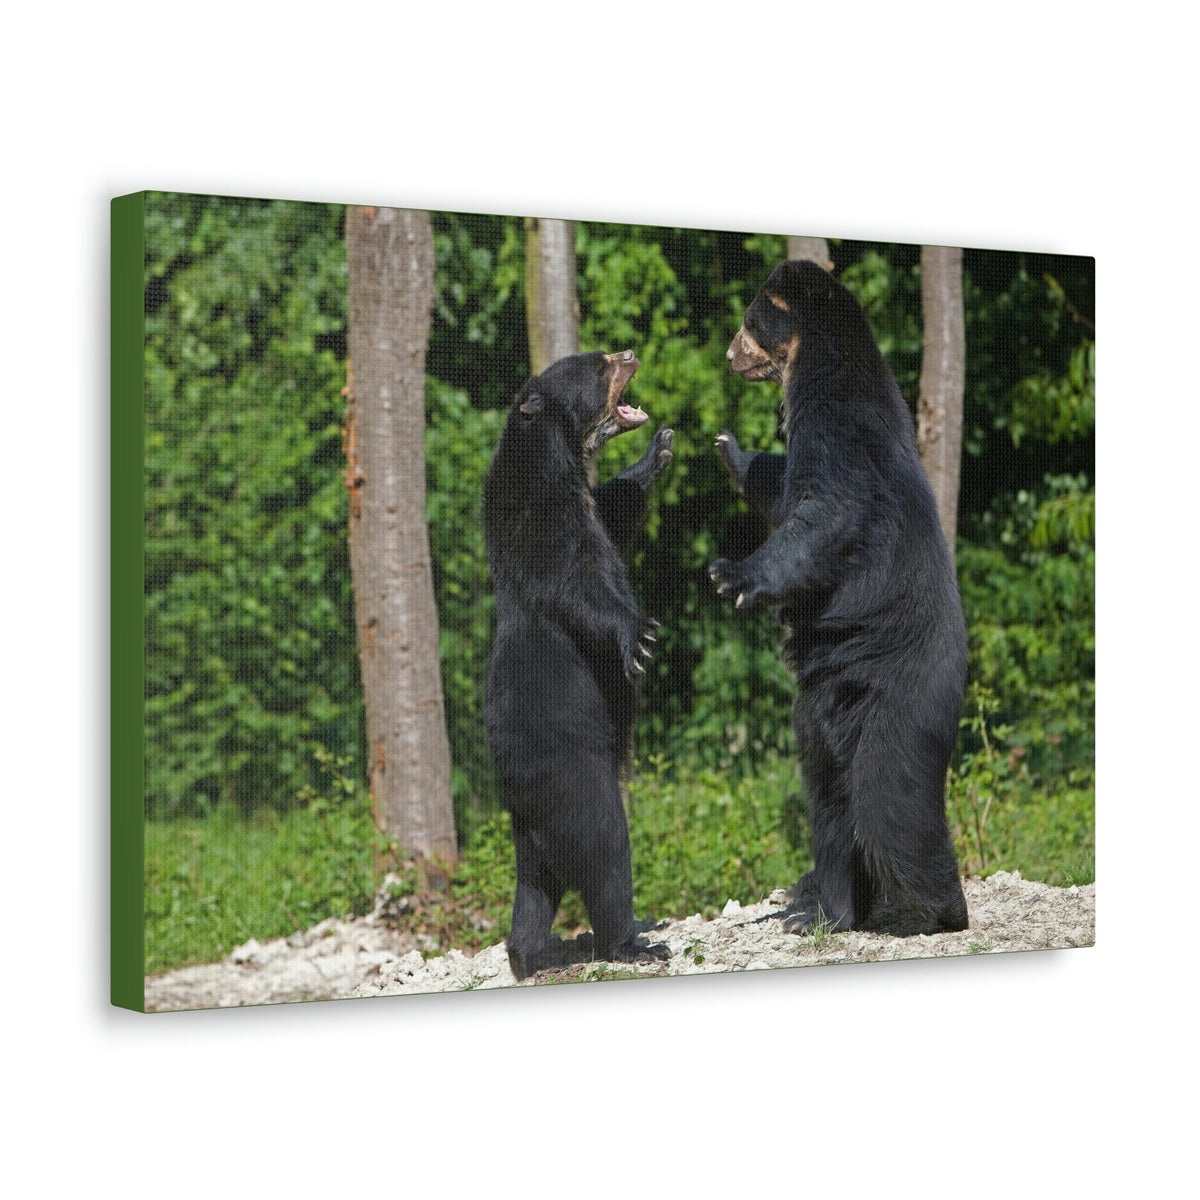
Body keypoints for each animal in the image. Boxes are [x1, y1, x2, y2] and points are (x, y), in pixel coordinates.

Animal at [482, 349, 674, 980]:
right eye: (597, 366)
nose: (630, 352)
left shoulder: (588, 505)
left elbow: (616, 509)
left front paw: (658, 452)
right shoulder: (540, 517)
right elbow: (577, 582)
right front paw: (640, 636)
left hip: (527, 834)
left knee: (533, 890)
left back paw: (523, 955)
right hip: (574, 778)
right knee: (607, 851)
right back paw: (632, 942)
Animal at [710, 259, 970, 937]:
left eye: (750, 321)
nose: (729, 356)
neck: (815, 363)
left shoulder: (840, 430)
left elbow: (826, 512)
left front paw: (731, 574)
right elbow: (780, 489)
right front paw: (730, 449)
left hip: (897, 701)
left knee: (888, 800)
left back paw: (933, 910)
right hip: (820, 715)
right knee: (829, 803)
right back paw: (830, 911)